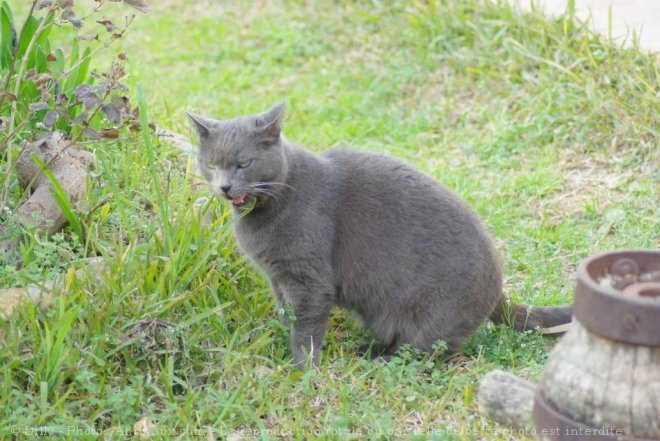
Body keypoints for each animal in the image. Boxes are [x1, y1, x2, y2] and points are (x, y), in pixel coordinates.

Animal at [187, 102, 572, 364]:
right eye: (211, 163)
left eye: (244, 163)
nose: (224, 186)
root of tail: (499, 284)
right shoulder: (277, 277)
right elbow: (286, 314)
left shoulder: (309, 279)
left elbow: (306, 326)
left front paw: (303, 367)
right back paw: (366, 350)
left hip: (431, 317)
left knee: (424, 351)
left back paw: (378, 360)